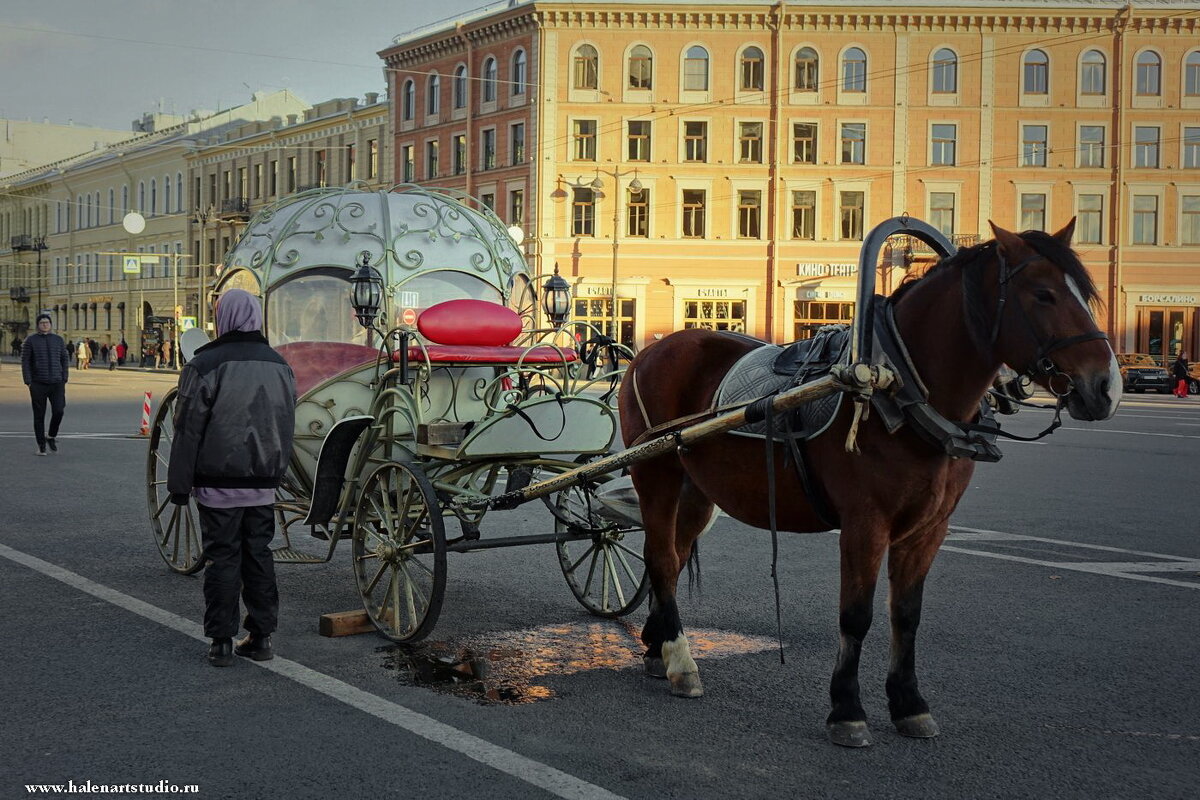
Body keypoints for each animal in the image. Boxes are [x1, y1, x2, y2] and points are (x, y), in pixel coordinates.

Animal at [624, 219, 1118, 743]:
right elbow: (856, 615)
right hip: (653, 474)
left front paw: (909, 703)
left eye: (1086, 295)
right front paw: (847, 709)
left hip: (696, 490)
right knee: (660, 558)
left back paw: (658, 647)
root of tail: (653, 348)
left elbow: (907, 615)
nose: (1107, 386)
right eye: (1043, 294)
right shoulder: (865, 524)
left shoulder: (929, 528)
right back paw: (681, 662)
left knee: (673, 558)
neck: (896, 387)